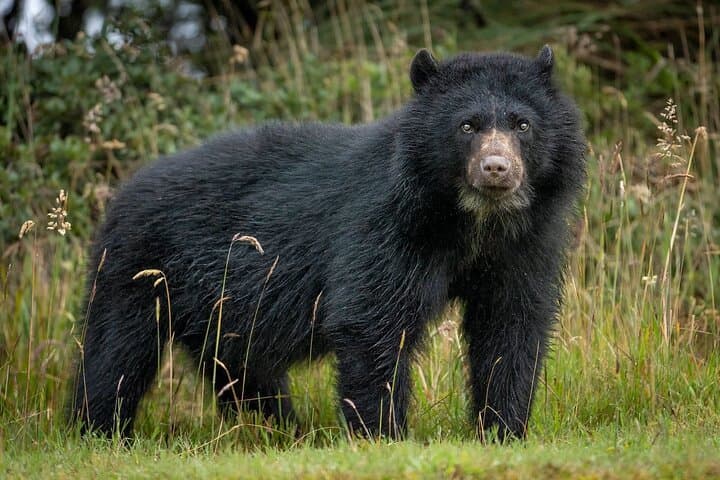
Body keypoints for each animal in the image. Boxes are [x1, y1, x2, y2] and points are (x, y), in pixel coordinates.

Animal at [70, 45, 586, 441]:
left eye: (522, 124)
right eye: (467, 126)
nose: (496, 169)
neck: (473, 222)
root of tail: (123, 193)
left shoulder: (524, 244)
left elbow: (510, 324)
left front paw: (503, 429)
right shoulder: (385, 226)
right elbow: (372, 319)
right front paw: (382, 434)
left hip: (215, 304)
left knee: (240, 367)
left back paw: (280, 428)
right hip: (138, 269)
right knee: (116, 352)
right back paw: (99, 431)